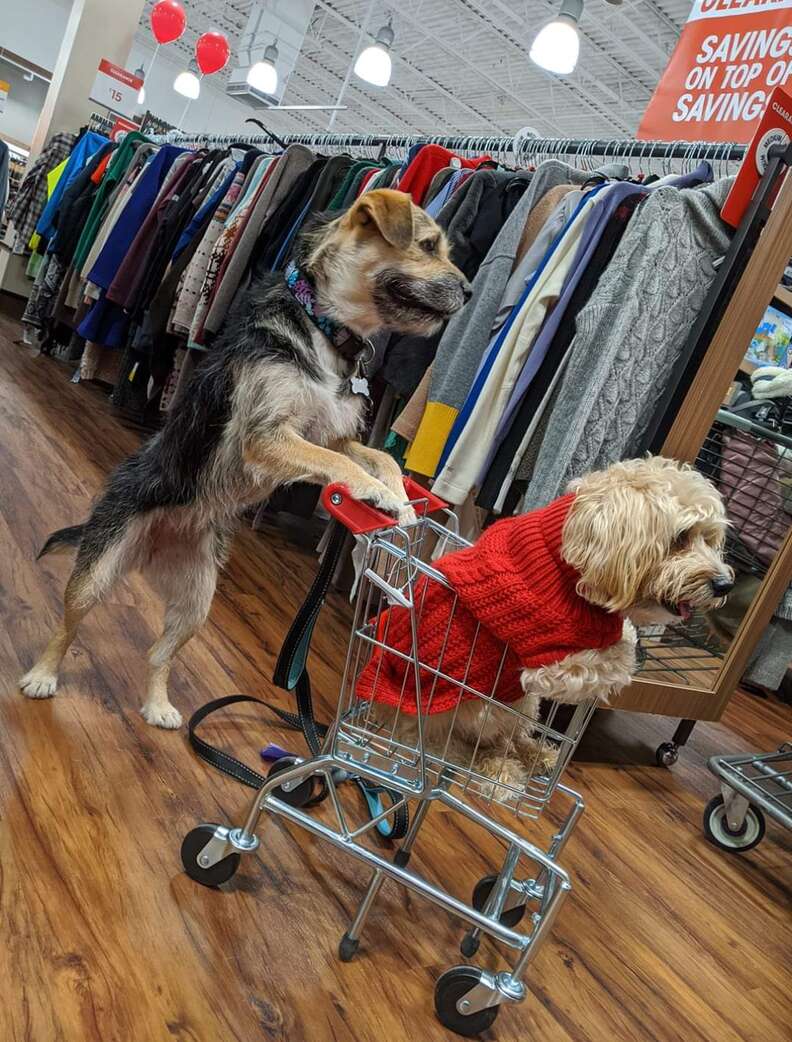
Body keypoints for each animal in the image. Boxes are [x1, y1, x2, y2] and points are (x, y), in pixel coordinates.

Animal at [21, 189, 473, 725]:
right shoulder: (267, 437)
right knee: (67, 626)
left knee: (158, 653)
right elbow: (343, 466)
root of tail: (153, 545)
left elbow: (379, 460)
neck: (323, 326)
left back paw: (158, 706)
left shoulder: (330, 436)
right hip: (98, 567)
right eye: (426, 245)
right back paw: (42, 676)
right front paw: (377, 495)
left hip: (196, 600)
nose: (470, 292)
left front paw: (399, 498)